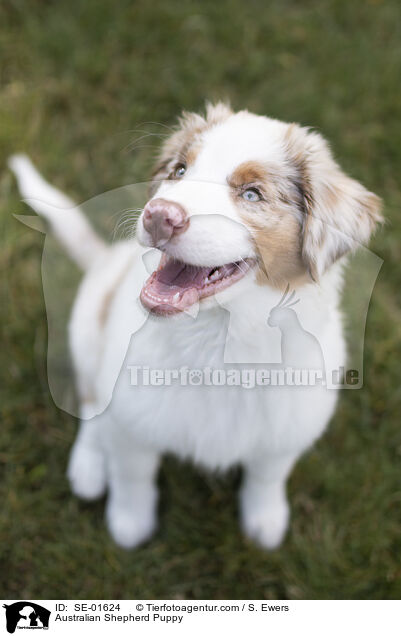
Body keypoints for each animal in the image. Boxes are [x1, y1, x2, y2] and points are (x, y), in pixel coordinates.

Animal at [9, 103, 382, 548]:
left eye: (252, 194)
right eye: (180, 171)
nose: (158, 216)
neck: (220, 338)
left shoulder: (288, 428)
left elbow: (267, 475)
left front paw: (265, 522)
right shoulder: (133, 418)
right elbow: (132, 475)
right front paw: (129, 525)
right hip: (87, 324)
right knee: (90, 400)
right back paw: (88, 466)